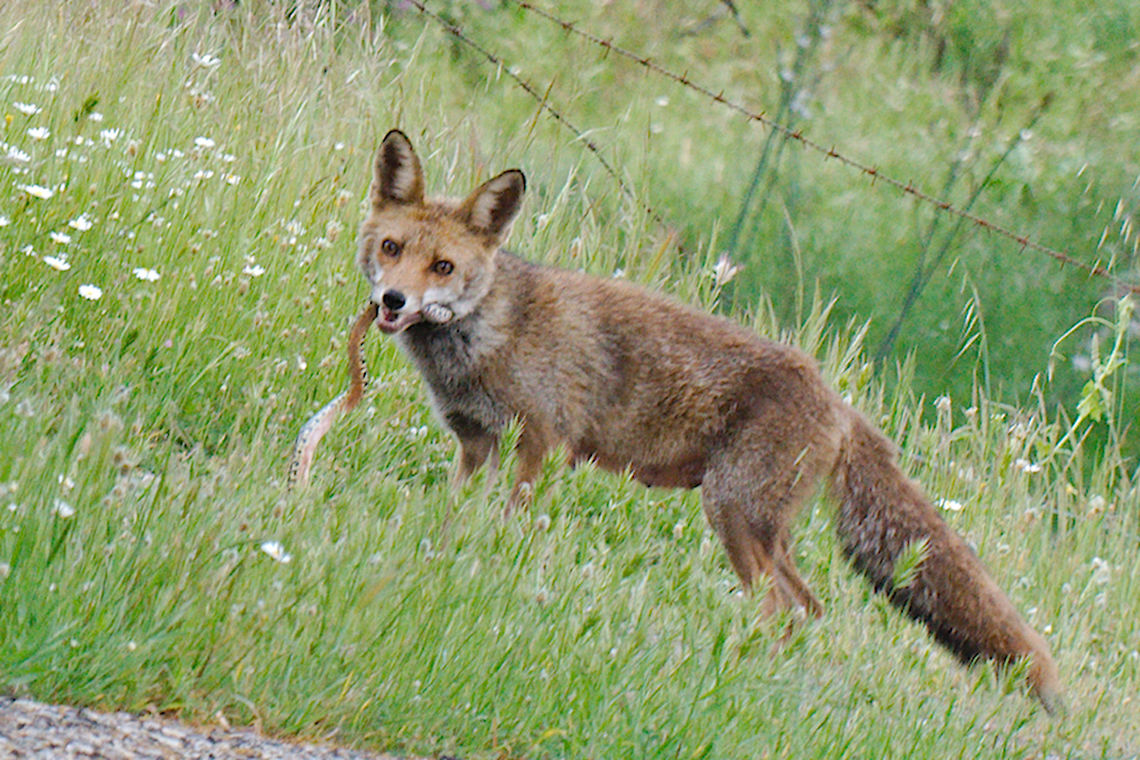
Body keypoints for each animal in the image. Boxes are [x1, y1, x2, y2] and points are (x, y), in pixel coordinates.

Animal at [357, 129, 1061, 711]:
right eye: (391, 248)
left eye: (443, 267)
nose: (392, 300)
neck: (487, 336)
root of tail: (838, 401)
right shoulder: (475, 445)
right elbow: (451, 518)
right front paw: (436, 563)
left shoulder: (543, 444)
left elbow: (504, 528)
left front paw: (488, 571)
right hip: (759, 528)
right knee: (811, 610)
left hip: (733, 513)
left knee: (786, 610)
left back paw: (742, 678)